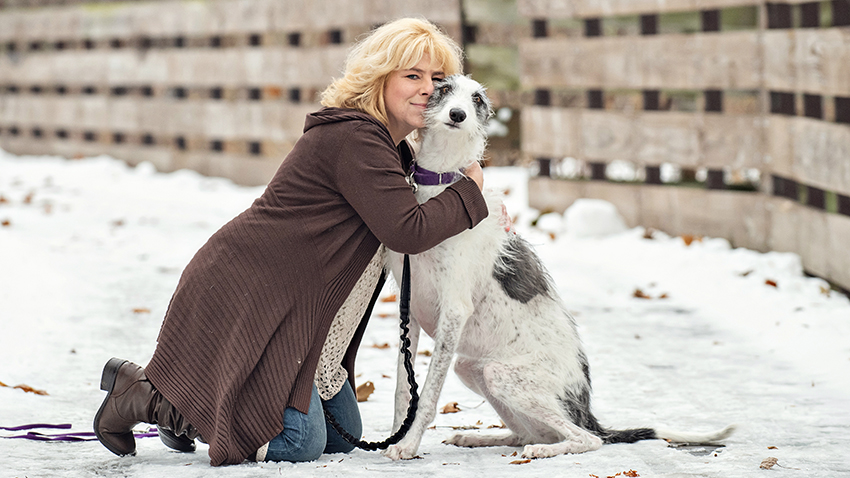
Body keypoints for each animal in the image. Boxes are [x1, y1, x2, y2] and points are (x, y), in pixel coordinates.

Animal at [380, 74, 732, 460]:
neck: (440, 184)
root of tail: (586, 410)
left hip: (503, 375)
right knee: (528, 432)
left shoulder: (454, 310)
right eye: (443, 90)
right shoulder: (410, 309)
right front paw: (397, 436)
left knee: (584, 439)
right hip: (474, 368)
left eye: (477, 100)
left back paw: (543, 450)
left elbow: (427, 395)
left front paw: (407, 445)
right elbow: (403, 391)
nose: (457, 115)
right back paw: (480, 439)